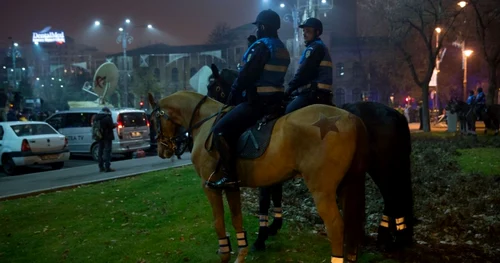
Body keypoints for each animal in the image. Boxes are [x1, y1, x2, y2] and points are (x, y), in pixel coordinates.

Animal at [147, 91, 368, 263]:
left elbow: (218, 222)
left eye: (153, 121)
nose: (161, 150)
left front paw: (225, 253)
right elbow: (237, 218)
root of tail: (350, 117)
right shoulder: (231, 186)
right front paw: (241, 253)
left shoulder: (210, 187)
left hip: (322, 190)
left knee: (336, 226)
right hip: (346, 186)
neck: (206, 122)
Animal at [205, 64, 416, 254]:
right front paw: (274, 225)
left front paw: (262, 237)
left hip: (382, 168)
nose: (215, 117)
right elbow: (276, 195)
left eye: (213, 87)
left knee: (391, 197)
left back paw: (384, 240)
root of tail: (396, 115)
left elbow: (265, 200)